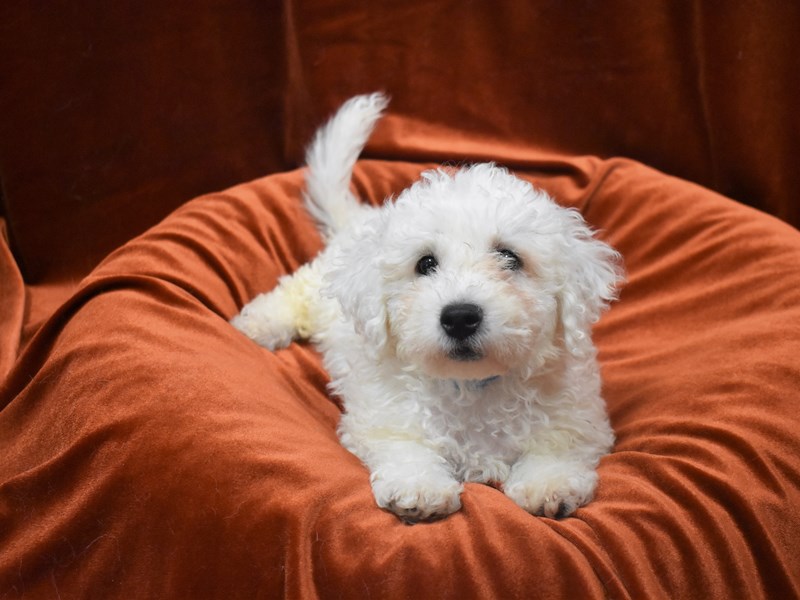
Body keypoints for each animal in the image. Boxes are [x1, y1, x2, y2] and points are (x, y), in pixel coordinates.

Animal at [233, 92, 624, 520]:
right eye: (425, 264)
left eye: (510, 257)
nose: (460, 317)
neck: (471, 386)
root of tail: (362, 220)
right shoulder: (385, 418)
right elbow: (405, 447)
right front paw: (420, 489)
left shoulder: (578, 417)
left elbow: (559, 445)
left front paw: (549, 483)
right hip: (319, 289)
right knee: (297, 290)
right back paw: (260, 322)